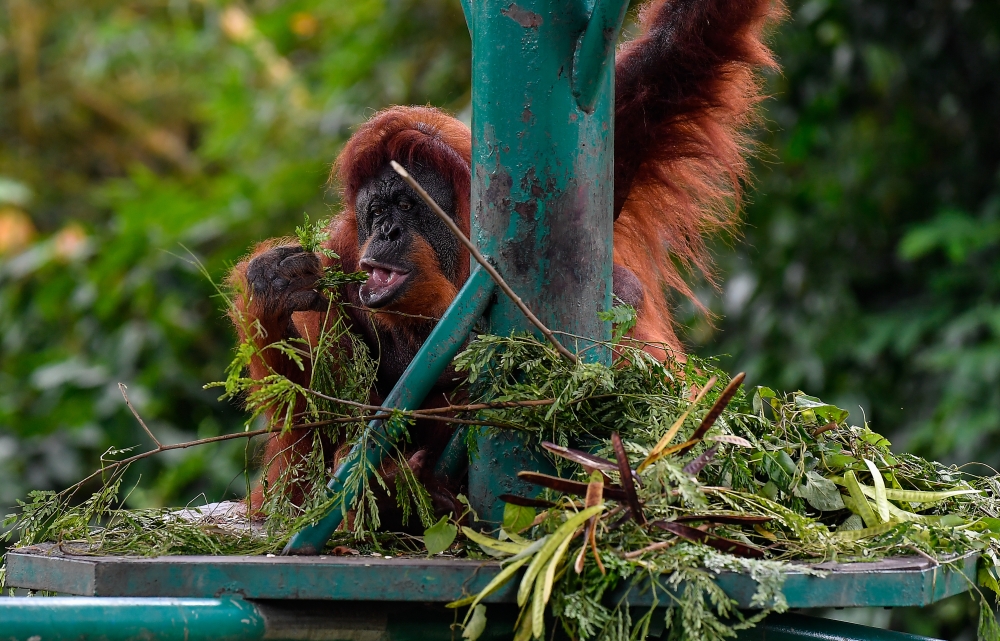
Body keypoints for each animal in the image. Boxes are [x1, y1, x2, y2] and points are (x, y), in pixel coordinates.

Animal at [228, 0, 783, 527]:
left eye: (407, 204)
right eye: (377, 211)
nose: (386, 232)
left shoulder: (601, 162)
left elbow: (678, 51)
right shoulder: (339, 260)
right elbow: (319, 436)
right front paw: (271, 289)